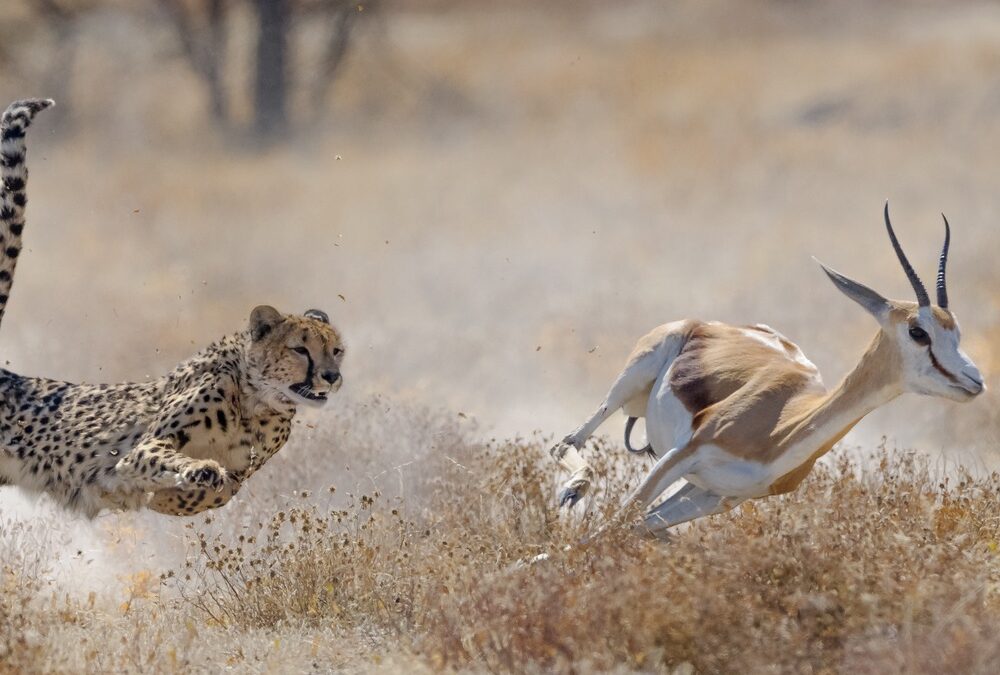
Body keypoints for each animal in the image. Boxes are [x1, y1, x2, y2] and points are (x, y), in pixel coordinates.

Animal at [0, 97, 348, 516]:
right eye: (300, 349)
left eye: (337, 351)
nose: (331, 376)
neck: (256, 403)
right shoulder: (142, 447)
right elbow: (164, 461)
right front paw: (191, 474)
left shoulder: (239, 474)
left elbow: (219, 491)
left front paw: (170, 492)